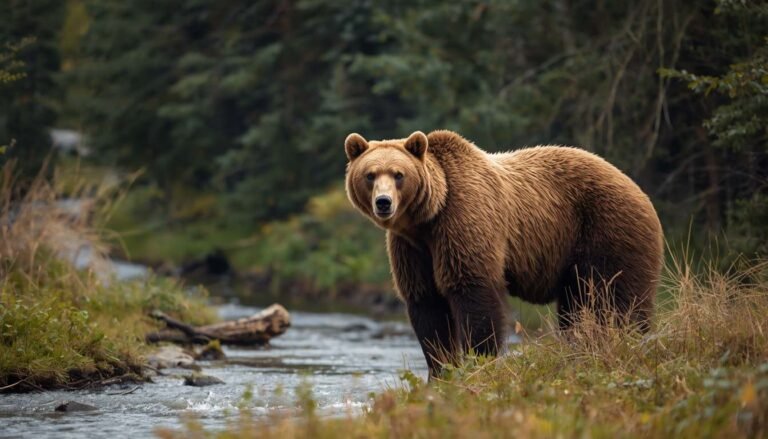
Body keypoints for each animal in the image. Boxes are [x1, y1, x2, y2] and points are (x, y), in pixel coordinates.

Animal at [344, 130, 664, 376]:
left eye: (398, 174)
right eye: (370, 175)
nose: (384, 202)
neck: (427, 219)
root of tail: (639, 191)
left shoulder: (463, 222)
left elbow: (474, 295)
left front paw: (479, 363)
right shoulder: (412, 249)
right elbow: (427, 306)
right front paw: (441, 372)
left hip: (608, 232)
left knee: (621, 301)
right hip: (574, 260)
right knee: (576, 308)